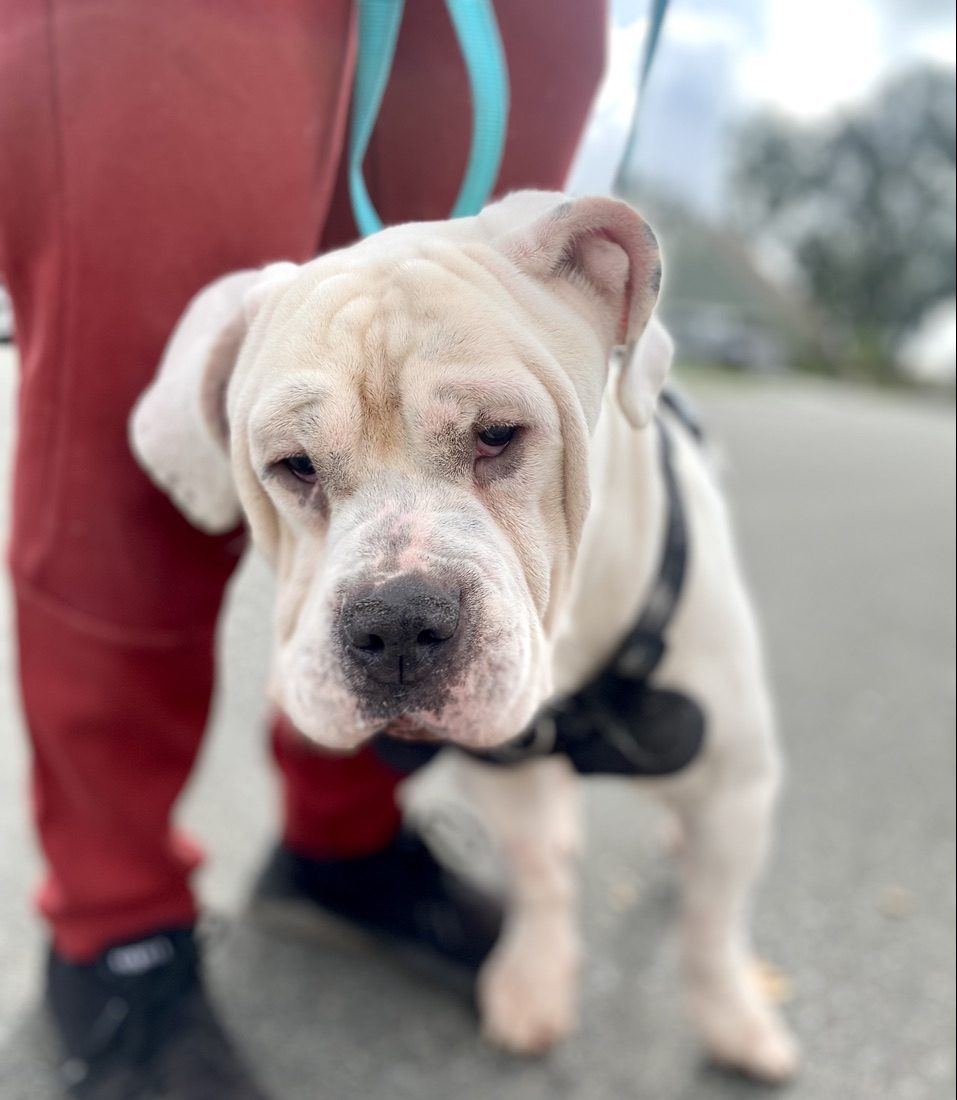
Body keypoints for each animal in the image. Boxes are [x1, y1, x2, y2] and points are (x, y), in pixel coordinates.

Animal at [129, 193, 800, 1078]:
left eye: (498, 435)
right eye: (294, 465)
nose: (395, 622)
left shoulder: (731, 784)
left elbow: (711, 924)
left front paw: (731, 1020)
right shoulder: (502, 762)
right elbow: (539, 871)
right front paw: (534, 980)